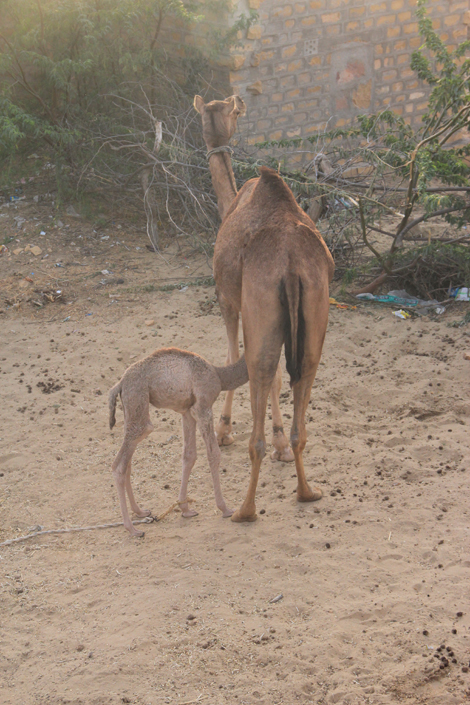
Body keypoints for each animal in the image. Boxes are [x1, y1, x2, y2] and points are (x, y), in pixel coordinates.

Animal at [109, 350, 250, 536]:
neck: (219, 375)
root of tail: (120, 384)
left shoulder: (187, 411)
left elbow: (189, 455)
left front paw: (186, 509)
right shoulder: (202, 407)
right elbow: (214, 454)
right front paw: (225, 509)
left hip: (130, 410)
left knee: (127, 463)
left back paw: (140, 512)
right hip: (139, 406)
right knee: (119, 465)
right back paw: (132, 528)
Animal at [195, 93, 334, 520]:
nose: (239, 100)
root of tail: (290, 265)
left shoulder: (228, 299)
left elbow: (230, 354)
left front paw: (224, 430)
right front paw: (281, 446)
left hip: (259, 306)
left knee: (259, 368)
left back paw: (244, 508)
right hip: (315, 312)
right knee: (300, 386)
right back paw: (307, 491)